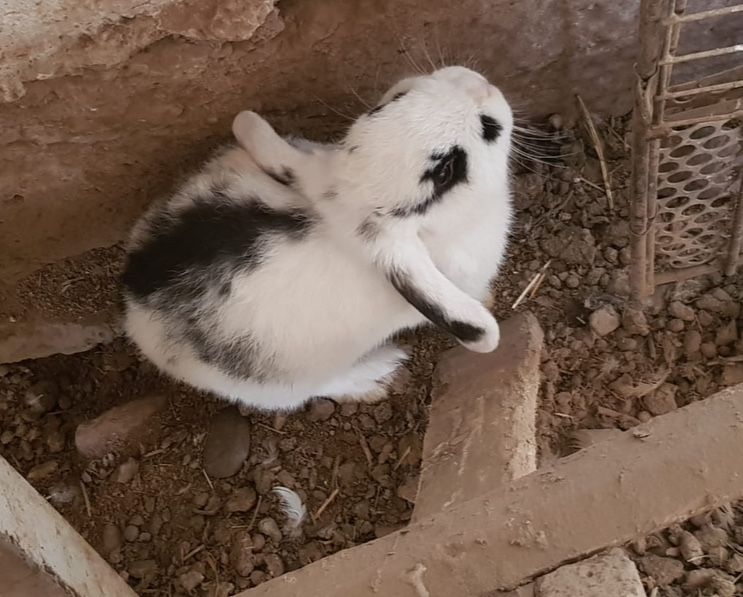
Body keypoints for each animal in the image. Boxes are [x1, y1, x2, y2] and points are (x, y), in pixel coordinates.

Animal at [121, 65, 513, 412]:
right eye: (446, 171)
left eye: (388, 102)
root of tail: (137, 311)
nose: (478, 86)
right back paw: (376, 375)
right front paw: (489, 303)